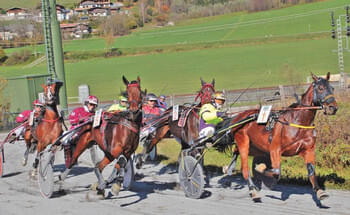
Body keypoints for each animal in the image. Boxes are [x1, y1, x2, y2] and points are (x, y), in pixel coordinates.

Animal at [226, 73, 338, 201]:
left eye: (332, 88)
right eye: (320, 88)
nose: (333, 108)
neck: (298, 121)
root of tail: (237, 116)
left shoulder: (308, 149)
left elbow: (311, 171)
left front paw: (319, 191)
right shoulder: (275, 149)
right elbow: (276, 172)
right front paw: (261, 168)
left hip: (255, 147)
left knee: (236, 151)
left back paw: (230, 168)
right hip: (243, 142)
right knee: (245, 168)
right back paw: (253, 190)